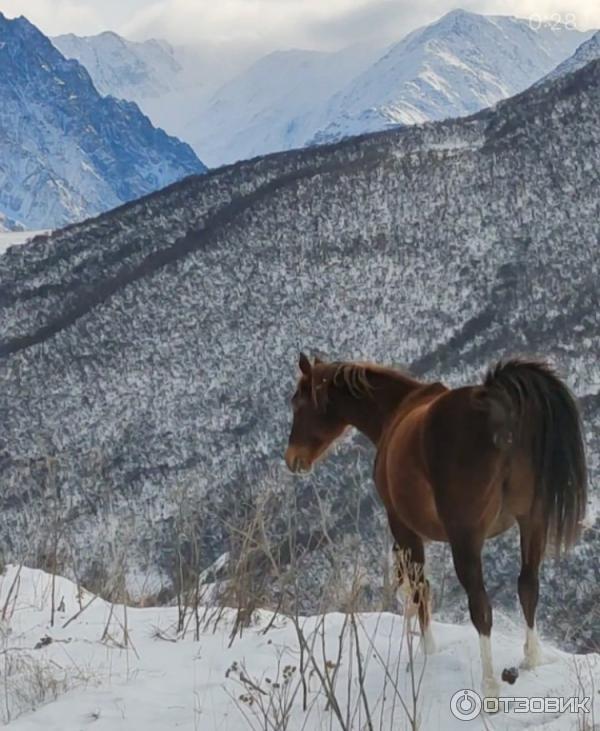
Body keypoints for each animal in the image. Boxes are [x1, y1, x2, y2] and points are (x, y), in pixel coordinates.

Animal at [284, 354, 584, 696]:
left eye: (298, 403)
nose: (292, 459)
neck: (395, 411)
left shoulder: (403, 527)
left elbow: (419, 588)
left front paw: (427, 651)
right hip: (531, 522)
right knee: (528, 585)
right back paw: (532, 659)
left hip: (465, 539)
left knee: (480, 606)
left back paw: (490, 685)